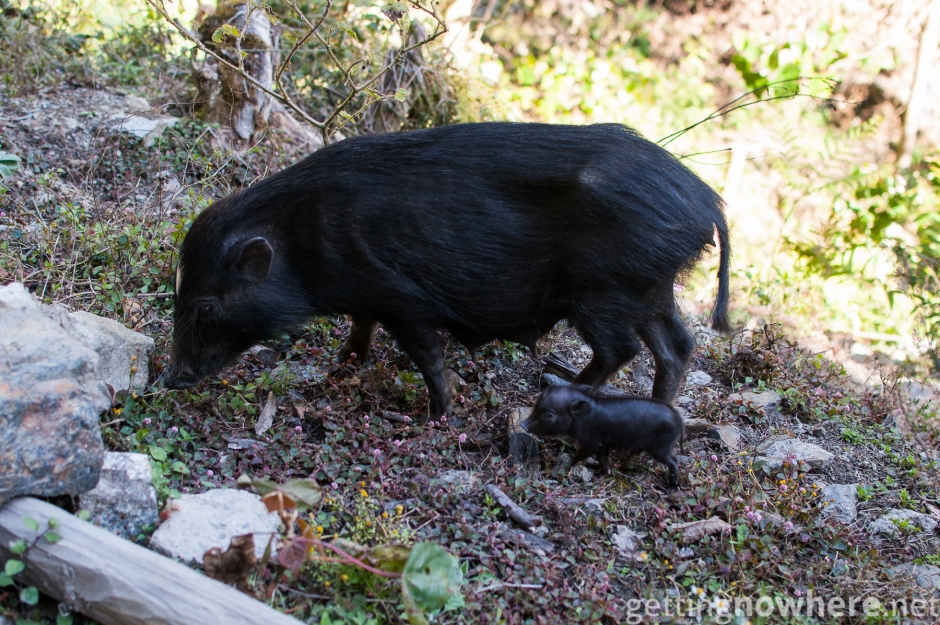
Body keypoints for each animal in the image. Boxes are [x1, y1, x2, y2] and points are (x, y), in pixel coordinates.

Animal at [165, 122, 731, 420]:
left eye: (205, 305)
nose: (171, 379)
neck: (302, 239)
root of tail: (707, 203)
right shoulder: (369, 297)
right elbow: (360, 326)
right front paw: (342, 366)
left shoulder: (402, 298)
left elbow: (427, 354)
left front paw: (438, 412)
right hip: (651, 288)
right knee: (677, 347)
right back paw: (660, 409)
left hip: (603, 291)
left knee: (623, 349)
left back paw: (556, 394)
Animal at [521, 384, 683, 487]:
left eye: (548, 415)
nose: (523, 424)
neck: (584, 418)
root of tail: (678, 419)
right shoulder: (602, 446)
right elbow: (605, 463)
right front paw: (601, 477)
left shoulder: (592, 443)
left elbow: (579, 457)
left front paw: (567, 468)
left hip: (660, 446)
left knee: (674, 460)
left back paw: (672, 486)